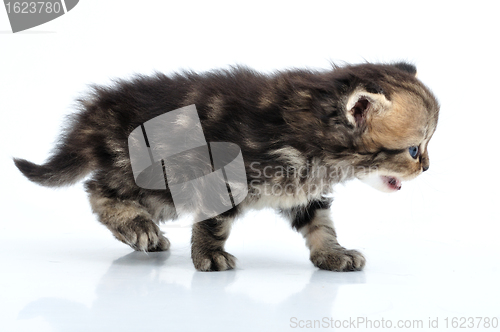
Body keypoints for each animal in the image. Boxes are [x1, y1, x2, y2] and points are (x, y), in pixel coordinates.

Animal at [14, 62, 438, 272]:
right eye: (414, 149)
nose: (428, 168)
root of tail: (95, 115)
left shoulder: (302, 191)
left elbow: (320, 223)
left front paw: (333, 255)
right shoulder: (224, 177)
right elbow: (214, 222)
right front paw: (209, 256)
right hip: (155, 179)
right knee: (97, 190)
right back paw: (138, 227)